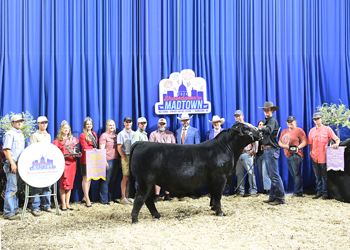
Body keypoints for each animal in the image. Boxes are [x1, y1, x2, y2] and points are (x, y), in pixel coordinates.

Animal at [130, 122, 262, 222]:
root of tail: (141, 143)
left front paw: (213, 208)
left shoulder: (213, 180)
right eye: (246, 128)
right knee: (140, 198)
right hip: (145, 181)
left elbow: (213, 195)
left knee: (148, 199)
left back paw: (156, 215)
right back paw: (135, 219)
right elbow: (218, 196)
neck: (227, 149)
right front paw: (220, 212)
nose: (260, 132)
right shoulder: (220, 177)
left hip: (149, 182)